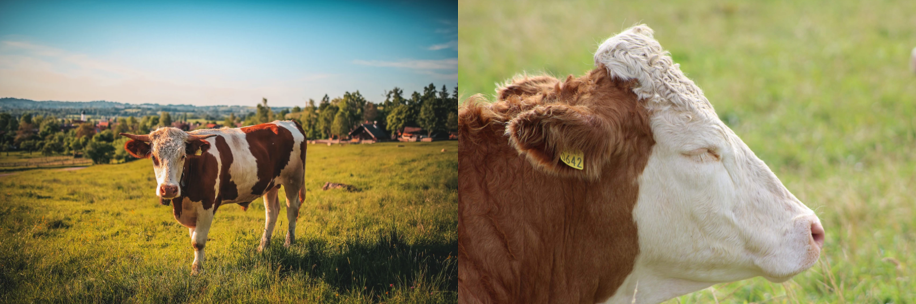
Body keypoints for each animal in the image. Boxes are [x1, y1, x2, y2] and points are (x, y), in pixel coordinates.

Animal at [120, 120, 308, 274]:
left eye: (182, 156)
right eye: (154, 157)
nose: (168, 189)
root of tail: (289, 122)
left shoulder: (207, 205)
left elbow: (198, 241)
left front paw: (197, 270)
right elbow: (193, 237)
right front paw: (198, 264)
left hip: (294, 178)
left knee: (292, 209)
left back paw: (289, 243)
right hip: (270, 184)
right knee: (272, 212)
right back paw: (263, 247)